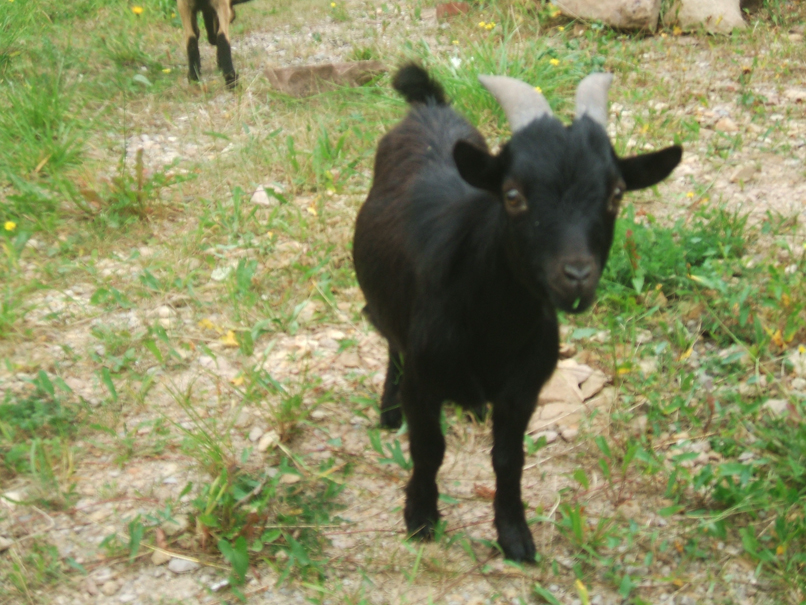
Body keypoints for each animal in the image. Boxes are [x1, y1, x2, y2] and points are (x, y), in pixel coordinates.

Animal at [352, 64, 682, 562]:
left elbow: (509, 460)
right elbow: (429, 449)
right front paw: (421, 517)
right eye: (512, 195)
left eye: (617, 194)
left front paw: (514, 536)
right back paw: (389, 411)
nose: (576, 275)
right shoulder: (424, 380)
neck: (494, 326)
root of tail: (429, 106)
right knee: (390, 339)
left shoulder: (522, 389)